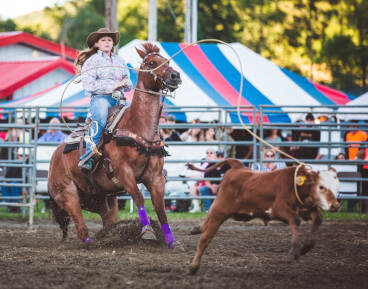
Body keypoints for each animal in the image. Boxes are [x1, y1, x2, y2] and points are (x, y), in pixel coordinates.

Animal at [47, 42, 183, 248]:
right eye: (151, 62)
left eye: (167, 61)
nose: (175, 76)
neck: (138, 126)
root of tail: (54, 157)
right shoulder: (124, 172)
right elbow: (139, 197)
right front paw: (147, 231)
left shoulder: (156, 177)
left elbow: (160, 208)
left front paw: (171, 240)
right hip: (67, 193)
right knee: (79, 223)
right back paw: (91, 242)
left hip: (103, 199)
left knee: (107, 219)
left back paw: (108, 236)